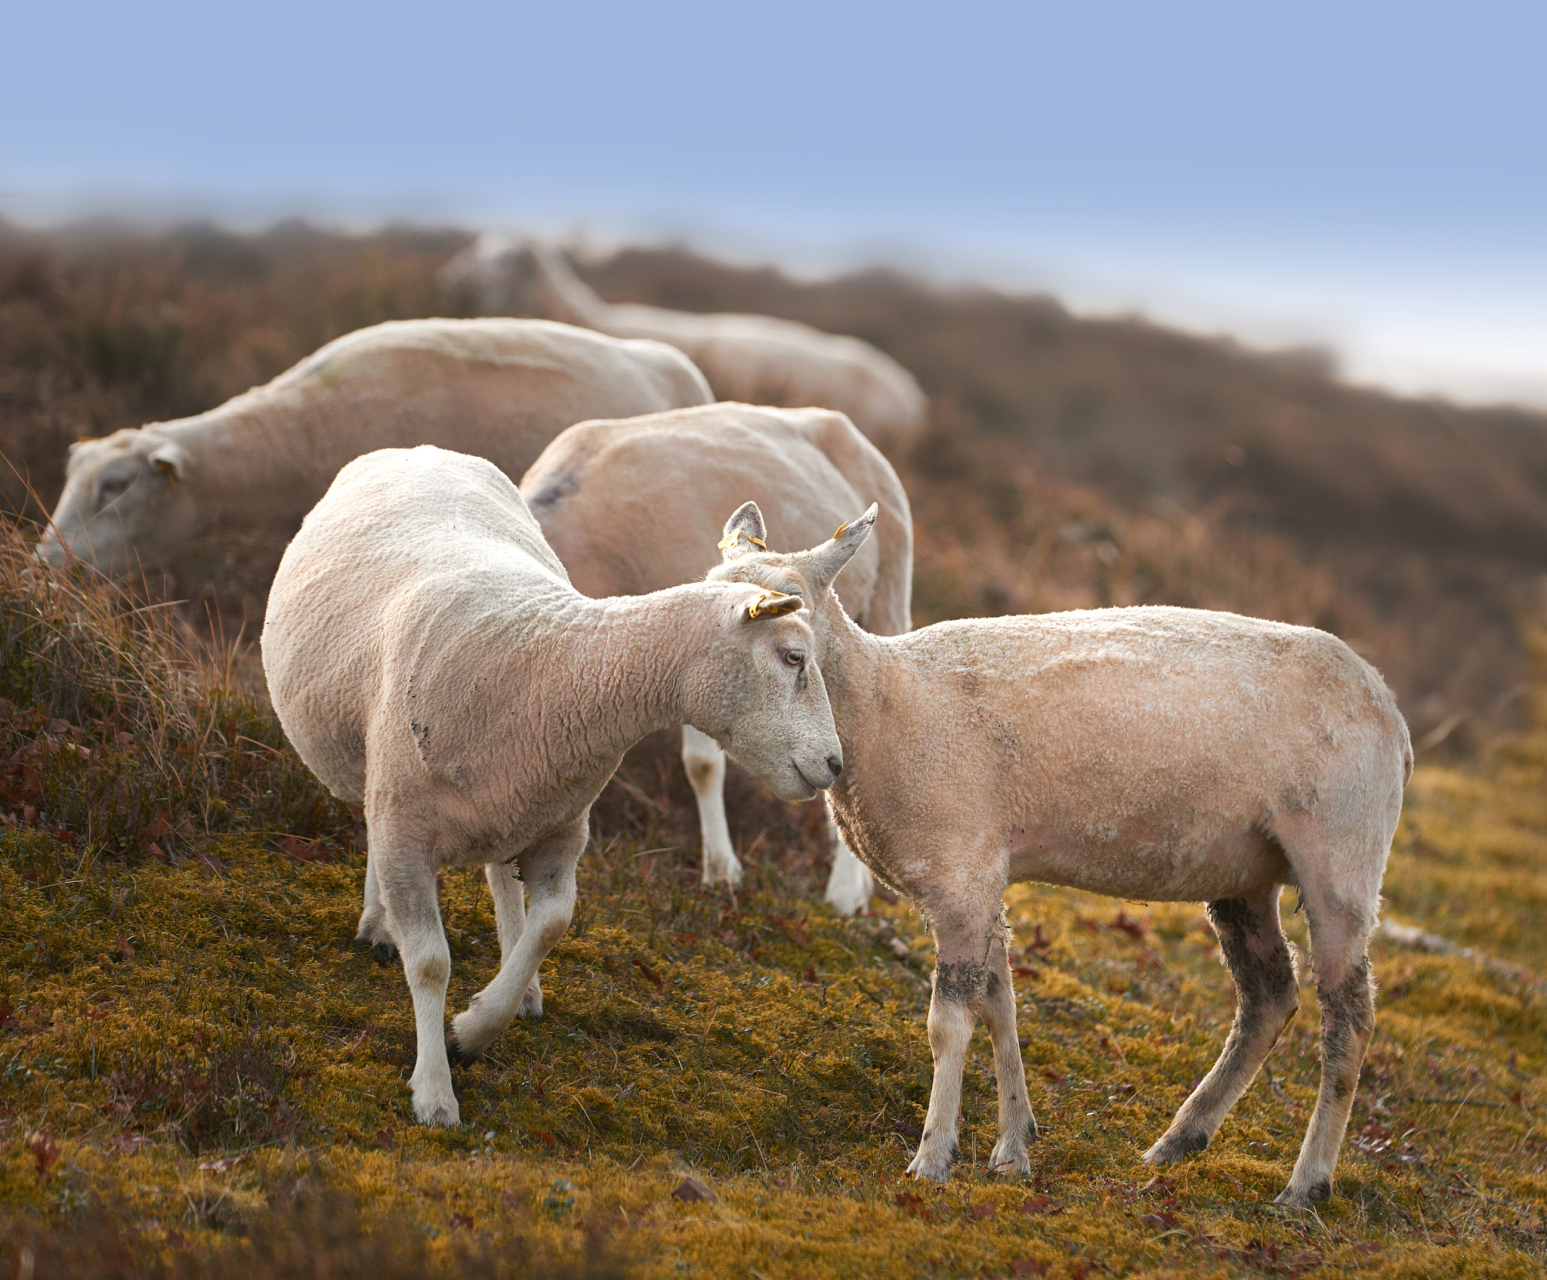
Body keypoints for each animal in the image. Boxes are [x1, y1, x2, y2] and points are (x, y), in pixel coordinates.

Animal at [261, 445, 853, 1126]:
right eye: (793, 657)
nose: (835, 764)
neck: (560, 666)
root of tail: (421, 450)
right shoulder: (404, 828)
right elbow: (431, 962)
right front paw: (435, 1089)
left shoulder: (561, 832)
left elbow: (551, 925)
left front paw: (475, 1028)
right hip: (395, 778)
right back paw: (380, 925)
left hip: (511, 803)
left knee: (498, 878)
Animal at [711, 504, 1417, 1213]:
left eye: (794, 622)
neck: (887, 703)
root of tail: (1393, 714)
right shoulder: (983, 872)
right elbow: (1000, 1005)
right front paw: (1012, 1148)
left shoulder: (960, 871)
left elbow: (949, 1022)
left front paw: (934, 1158)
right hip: (1246, 871)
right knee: (1269, 999)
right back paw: (1179, 1141)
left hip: (1341, 851)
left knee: (1349, 1021)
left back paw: (1305, 1185)